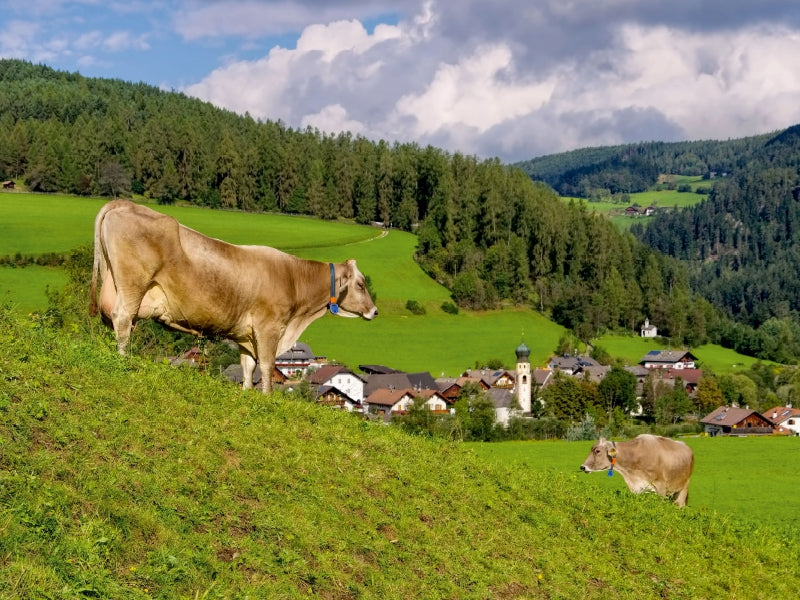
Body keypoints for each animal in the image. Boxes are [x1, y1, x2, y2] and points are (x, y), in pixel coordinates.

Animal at [90, 199, 378, 392]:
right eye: (361, 284)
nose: (374, 311)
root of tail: (125, 204)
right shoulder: (268, 327)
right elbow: (266, 365)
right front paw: (266, 397)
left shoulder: (245, 334)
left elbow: (248, 366)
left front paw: (247, 393)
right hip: (132, 284)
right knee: (123, 318)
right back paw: (123, 360)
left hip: (113, 282)